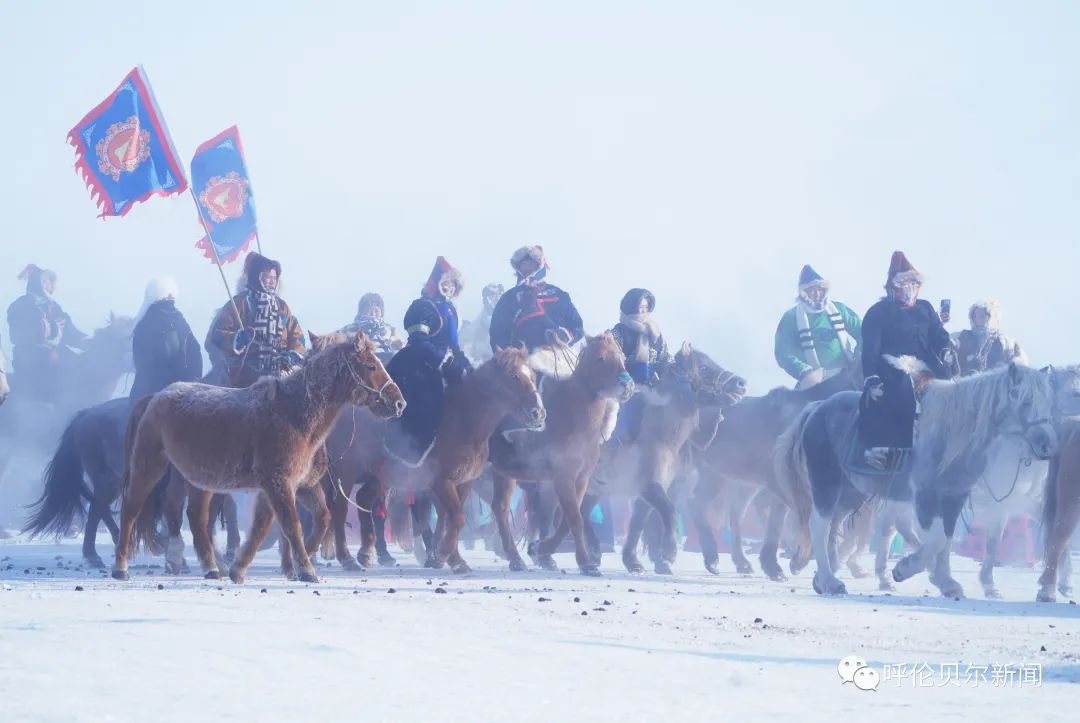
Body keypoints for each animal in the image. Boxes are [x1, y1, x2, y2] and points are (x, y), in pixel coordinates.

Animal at [111, 330, 406, 579]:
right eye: (370, 365)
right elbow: (291, 525)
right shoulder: (279, 483)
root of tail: (155, 397)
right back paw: (121, 567)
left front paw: (243, 568)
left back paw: (211, 567)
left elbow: (287, 523)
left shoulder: (296, 485)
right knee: (132, 510)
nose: (399, 402)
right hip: (148, 466)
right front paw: (305, 569)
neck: (294, 413)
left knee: (196, 517)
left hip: (199, 480)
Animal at [488, 332, 630, 574]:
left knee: (500, 508)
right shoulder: (563, 478)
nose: (627, 385)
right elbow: (574, 518)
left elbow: (566, 520)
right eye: (600, 358)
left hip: (503, 473)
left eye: (622, 356)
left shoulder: (579, 480)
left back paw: (515, 558)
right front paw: (586, 562)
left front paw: (542, 549)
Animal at [587, 343, 747, 574]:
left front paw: (633, 561)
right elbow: (669, 512)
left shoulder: (649, 489)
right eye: (704, 367)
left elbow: (637, 524)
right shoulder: (650, 486)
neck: (662, 434)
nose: (741, 383)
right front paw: (669, 553)